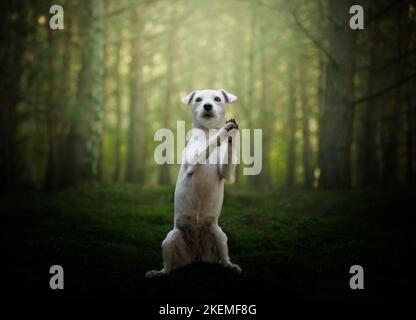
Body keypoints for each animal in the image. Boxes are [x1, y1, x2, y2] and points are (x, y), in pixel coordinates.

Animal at [146, 89, 242, 276]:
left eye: (217, 99)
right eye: (198, 99)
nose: (207, 106)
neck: (207, 132)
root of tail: (196, 256)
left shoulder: (226, 172)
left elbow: (228, 157)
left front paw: (232, 132)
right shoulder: (193, 161)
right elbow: (208, 145)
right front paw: (224, 131)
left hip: (219, 235)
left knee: (223, 258)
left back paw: (230, 265)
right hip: (171, 238)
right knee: (168, 267)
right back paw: (158, 273)